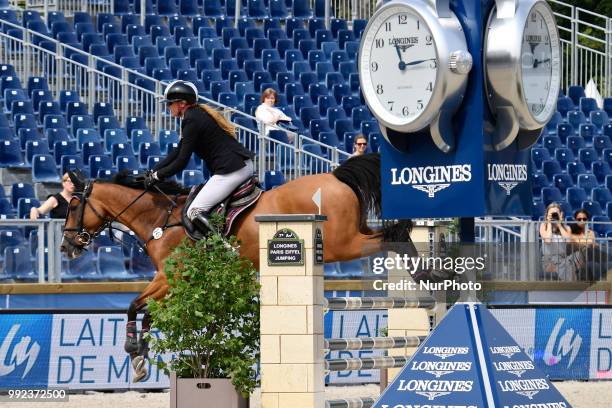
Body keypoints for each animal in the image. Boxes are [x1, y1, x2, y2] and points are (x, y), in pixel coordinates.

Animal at [59, 152, 414, 380]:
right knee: (390, 235)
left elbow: (135, 305)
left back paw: (427, 272)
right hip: (352, 234)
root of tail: (336, 176)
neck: (161, 218)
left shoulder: (170, 277)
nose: (65, 246)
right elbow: (146, 312)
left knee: (392, 235)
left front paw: (133, 349)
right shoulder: (175, 282)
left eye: (74, 204)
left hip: (343, 243)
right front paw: (140, 360)